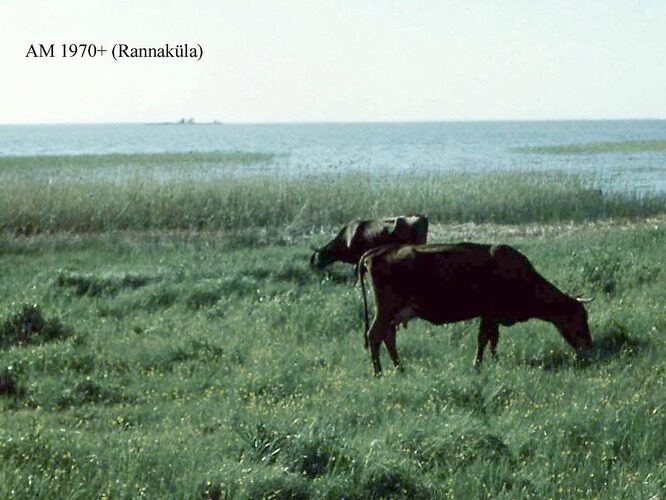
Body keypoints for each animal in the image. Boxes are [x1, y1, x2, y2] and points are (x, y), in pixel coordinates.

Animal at [358, 242, 592, 376]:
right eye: (581, 318)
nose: (589, 347)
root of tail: (377, 251)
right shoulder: (489, 313)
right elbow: (483, 339)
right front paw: (477, 365)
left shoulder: (493, 316)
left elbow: (493, 339)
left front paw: (495, 361)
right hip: (385, 310)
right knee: (375, 335)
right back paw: (379, 373)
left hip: (392, 314)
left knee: (388, 337)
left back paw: (400, 368)